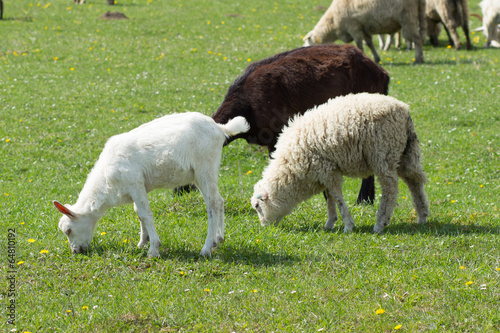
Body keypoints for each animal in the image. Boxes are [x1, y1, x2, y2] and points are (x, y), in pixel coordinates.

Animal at [53, 112, 249, 256]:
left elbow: (145, 214)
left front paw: (153, 249)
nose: (76, 251)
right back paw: (218, 239)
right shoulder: (139, 188)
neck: (106, 184)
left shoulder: (134, 182)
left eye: (68, 230)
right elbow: (138, 213)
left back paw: (206, 248)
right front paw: (142, 242)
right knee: (220, 201)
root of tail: (219, 127)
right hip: (202, 173)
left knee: (212, 204)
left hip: (205, 167)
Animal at [252, 92, 428, 233]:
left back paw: (380, 224)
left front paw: (348, 226)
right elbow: (330, 197)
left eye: (257, 206)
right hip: (405, 153)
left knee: (390, 189)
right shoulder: (326, 172)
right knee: (414, 181)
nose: (264, 227)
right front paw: (330, 222)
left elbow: (337, 198)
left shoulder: (327, 170)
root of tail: (404, 110)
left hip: (383, 155)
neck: (291, 170)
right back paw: (422, 216)